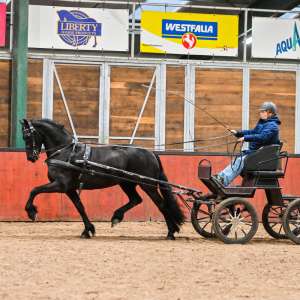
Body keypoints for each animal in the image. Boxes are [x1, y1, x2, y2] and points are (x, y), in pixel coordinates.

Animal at [20, 119, 185, 239]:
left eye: (27, 136)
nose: (30, 157)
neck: (66, 152)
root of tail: (151, 153)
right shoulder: (70, 189)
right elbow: (80, 207)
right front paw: (88, 230)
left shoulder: (61, 185)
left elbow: (34, 190)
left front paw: (31, 211)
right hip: (127, 183)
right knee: (136, 199)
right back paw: (117, 217)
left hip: (148, 185)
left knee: (161, 205)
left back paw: (171, 232)